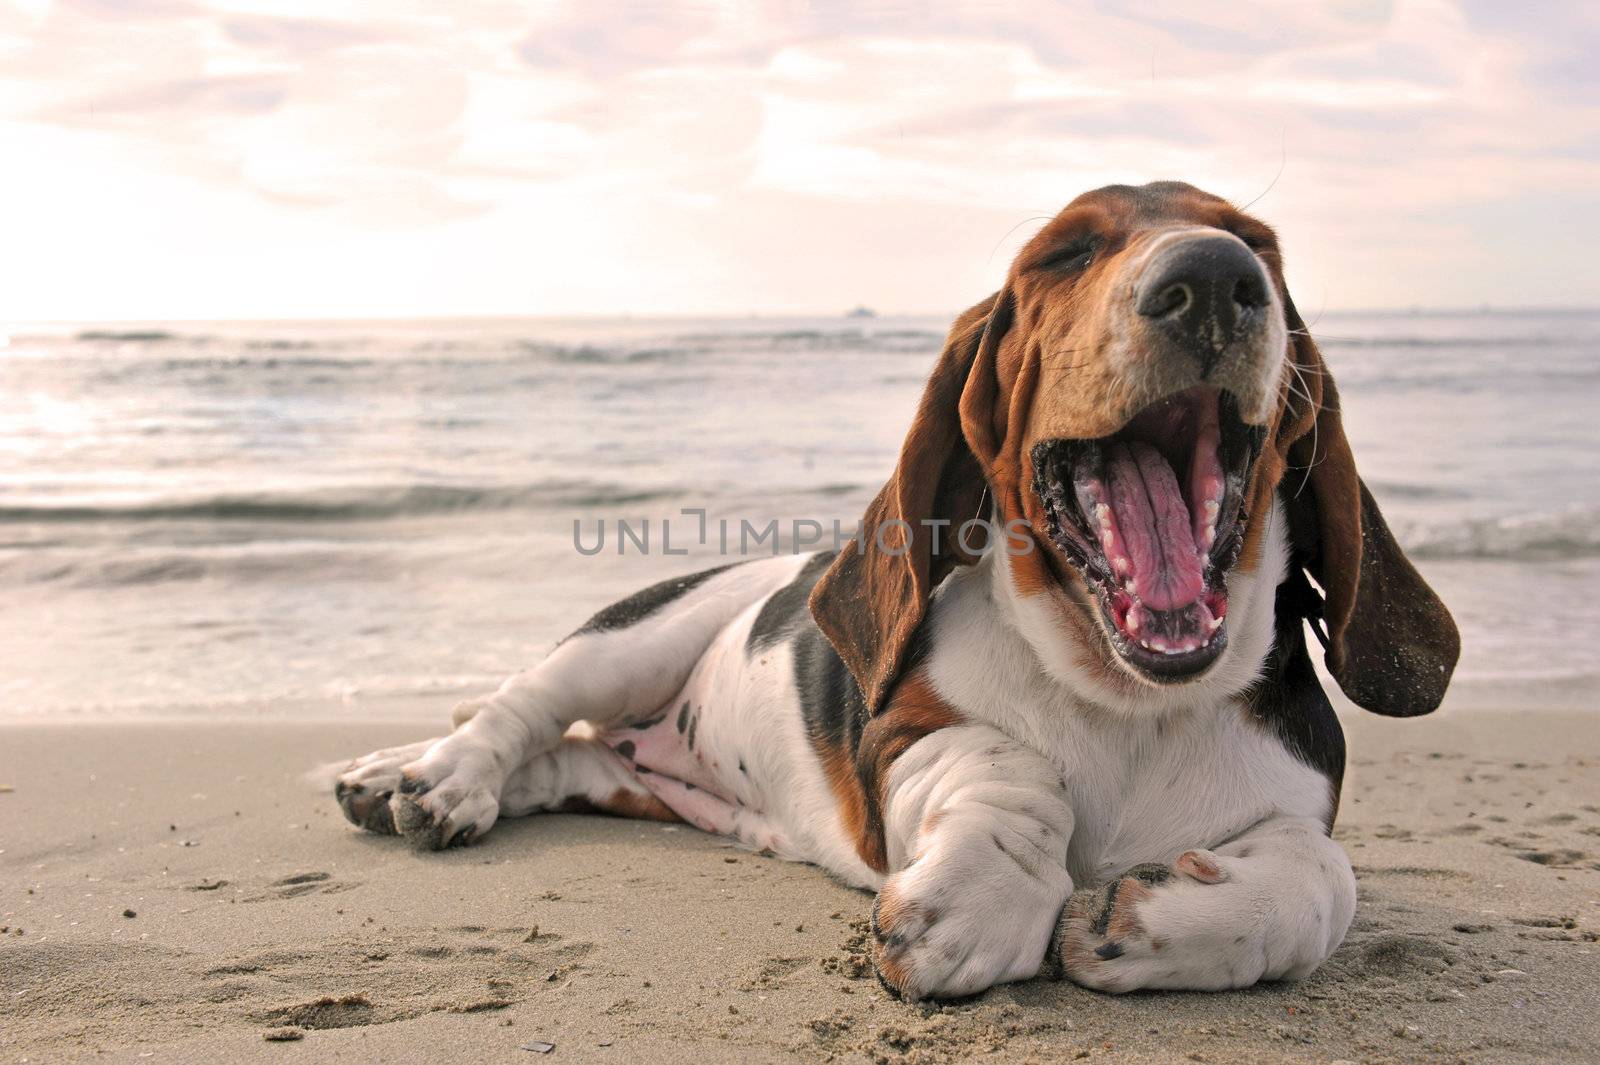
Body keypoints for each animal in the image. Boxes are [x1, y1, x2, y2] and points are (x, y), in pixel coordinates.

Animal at [331, 180, 1459, 997]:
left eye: (1255, 242)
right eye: (1064, 254)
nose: (1215, 277)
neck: (1125, 698)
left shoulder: (1302, 805)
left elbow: (1323, 879)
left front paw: (1144, 923)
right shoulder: (902, 737)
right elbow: (1013, 770)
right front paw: (977, 901)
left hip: (631, 775)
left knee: (559, 764)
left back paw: (397, 778)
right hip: (633, 637)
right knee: (519, 712)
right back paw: (428, 781)